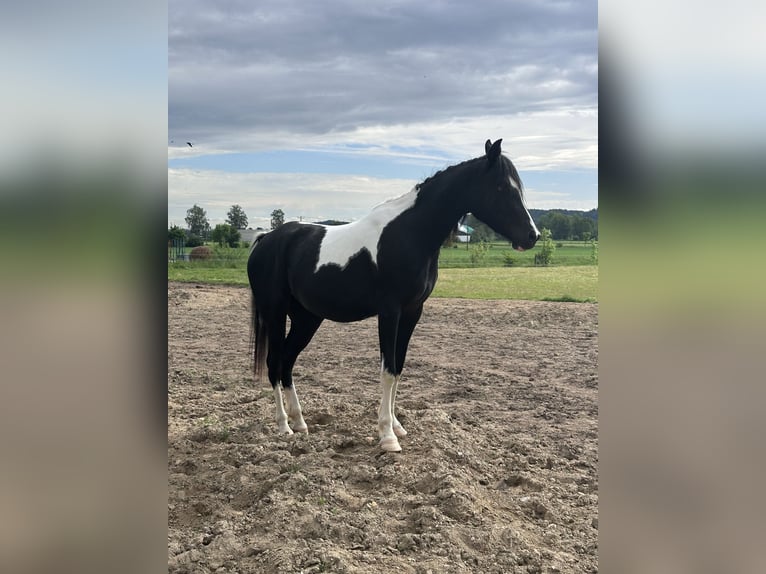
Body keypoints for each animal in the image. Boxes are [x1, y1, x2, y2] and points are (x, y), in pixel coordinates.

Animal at [250, 141, 540, 454]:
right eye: (501, 187)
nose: (532, 235)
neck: (410, 234)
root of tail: (267, 239)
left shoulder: (413, 312)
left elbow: (398, 368)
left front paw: (397, 426)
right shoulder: (390, 312)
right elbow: (387, 370)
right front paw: (387, 436)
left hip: (307, 318)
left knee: (288, 362)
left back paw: (301, 423)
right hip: (275, 313)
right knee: (275, 363)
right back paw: (284, 426)